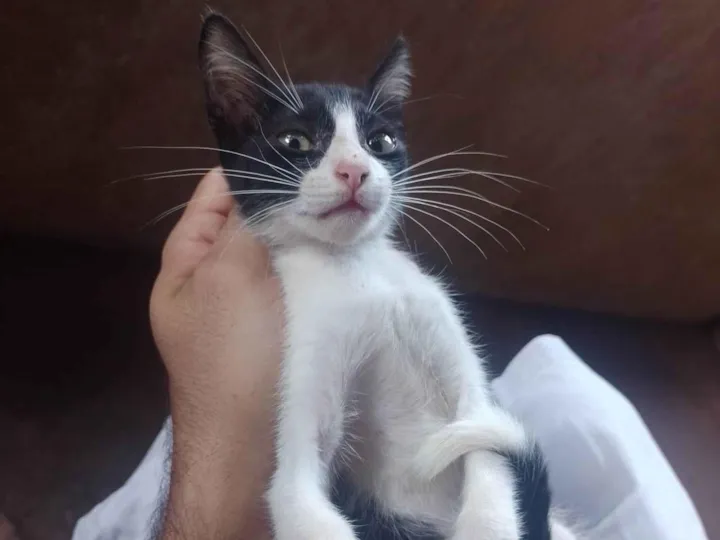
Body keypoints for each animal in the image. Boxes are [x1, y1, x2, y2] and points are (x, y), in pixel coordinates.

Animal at [198, 11, 578, 540]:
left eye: (379, 142)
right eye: (295, 141)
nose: (355, 170)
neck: (361, 274)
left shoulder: (463, 377)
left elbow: (488, 458)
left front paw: (488, 521)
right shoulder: (308, 367)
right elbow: (296, 491)